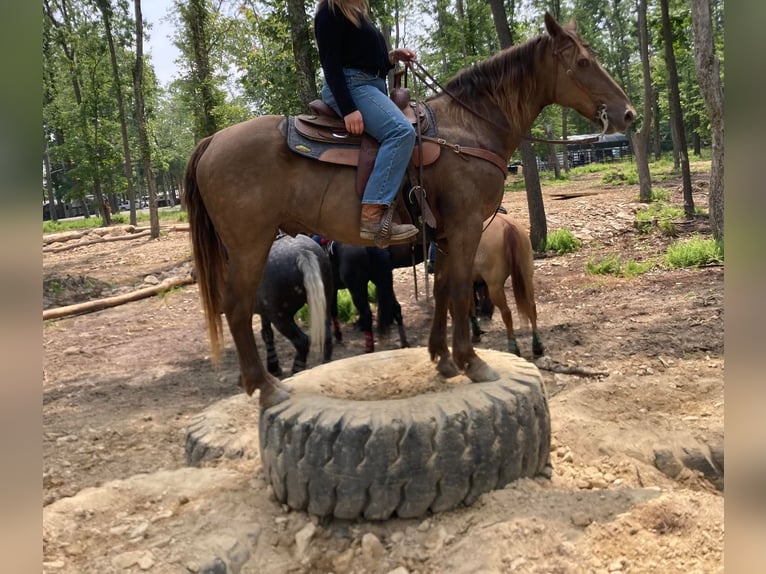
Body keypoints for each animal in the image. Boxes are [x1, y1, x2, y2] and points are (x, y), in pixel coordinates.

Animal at [256, 234, 334, 378]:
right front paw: (273, 367)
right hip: (325, 303)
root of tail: (303, 253)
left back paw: (296, 373)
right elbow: (267, 334)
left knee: (301, 342)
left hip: (280, 317)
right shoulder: (263, 311)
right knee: (327, 338)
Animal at [468, 214, 544, 360]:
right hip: (527, 276)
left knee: (506, 313)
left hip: (495, 286)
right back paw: (537, 346)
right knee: (531, 306)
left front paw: (475, 333)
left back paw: (513, 347)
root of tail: (507, 225)